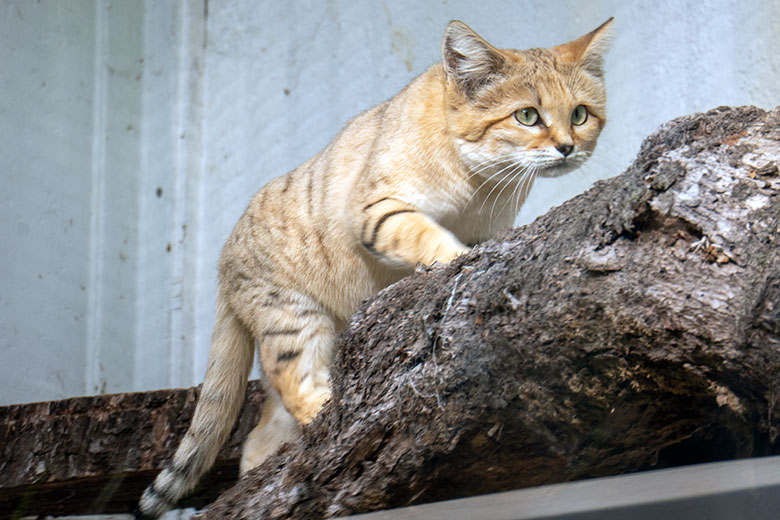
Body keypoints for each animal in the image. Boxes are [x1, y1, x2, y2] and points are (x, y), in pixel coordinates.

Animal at [140, 18, 616, 516]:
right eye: (527, 116)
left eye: (579, 114)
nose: (567, 147)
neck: (481, 184)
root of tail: (222, 260)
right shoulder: (376, 209)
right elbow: (427, 235)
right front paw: (458, 258)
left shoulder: (491, 223)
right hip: (290, 316)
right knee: (291, 382)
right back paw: (328, 409)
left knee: (258, 436)